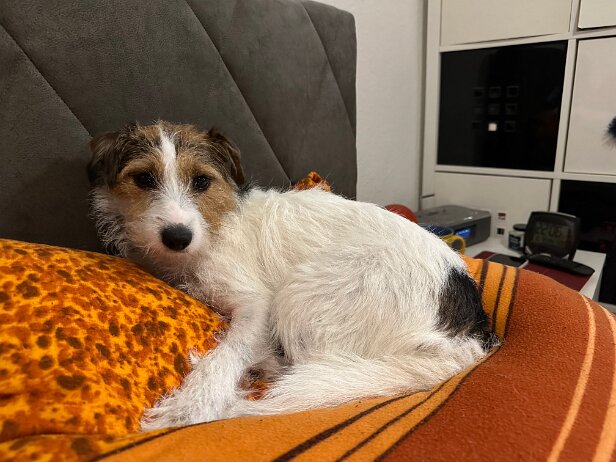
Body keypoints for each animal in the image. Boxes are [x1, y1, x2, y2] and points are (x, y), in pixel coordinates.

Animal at [87, 121, 495, 431]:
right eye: (143, 178)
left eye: (201, 182)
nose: (176, 237)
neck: (212, 229)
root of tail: (464, 339)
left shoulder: (256, 303)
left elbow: (227, 351)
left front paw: (193, 403)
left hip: (306, 293)